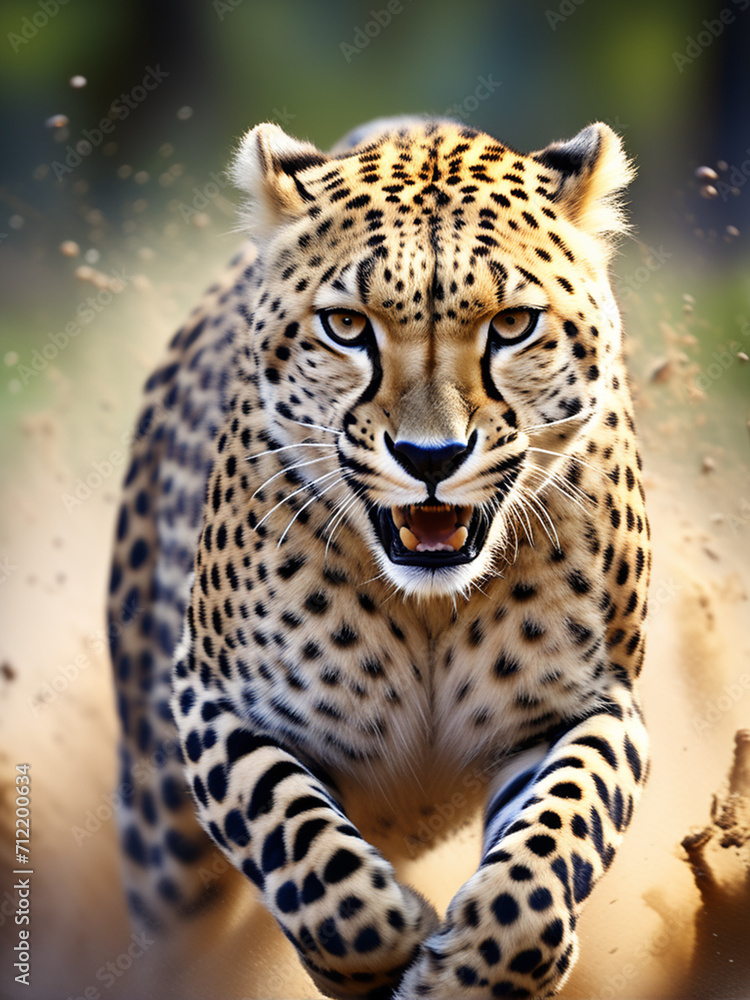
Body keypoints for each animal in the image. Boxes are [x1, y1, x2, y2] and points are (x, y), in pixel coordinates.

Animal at [107, 115, 651, 1000]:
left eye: (512, 326)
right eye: (348, 327)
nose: (431, 457)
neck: (429, 607)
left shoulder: (589, 707)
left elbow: (555, 846)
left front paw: (474, 969)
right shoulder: (215, 698)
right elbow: (299, 844)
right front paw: (387, 938)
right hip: (160, 822)